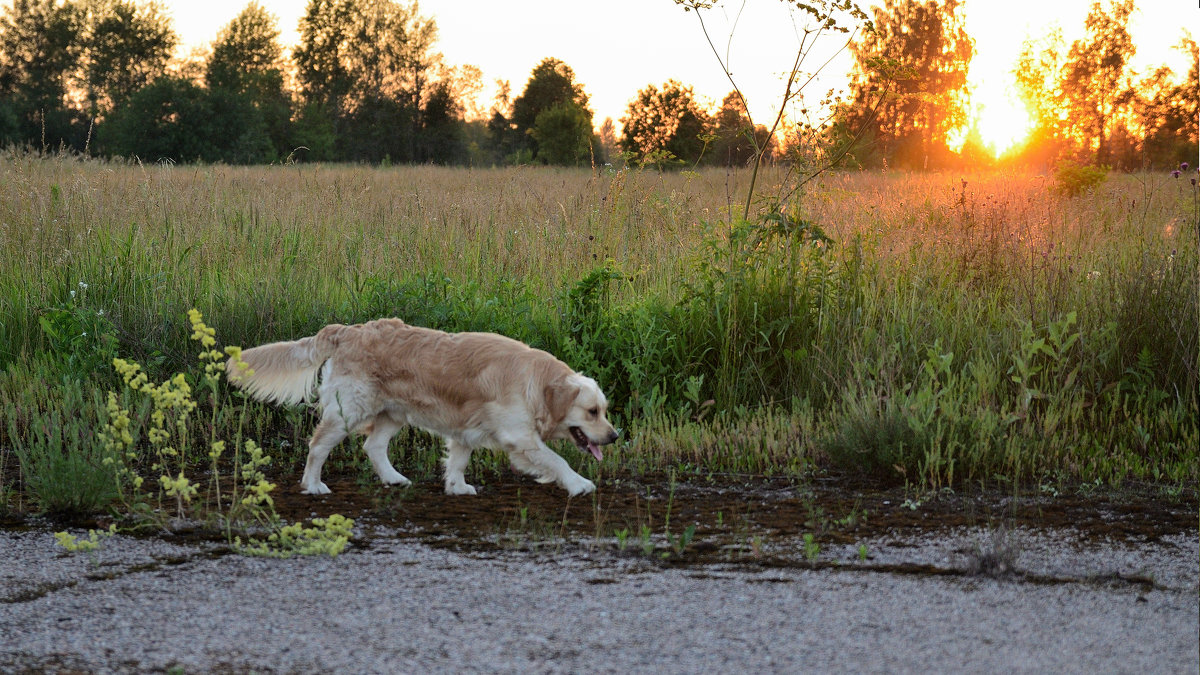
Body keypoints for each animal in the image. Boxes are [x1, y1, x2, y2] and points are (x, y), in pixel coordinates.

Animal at [226, 314, 619, 494]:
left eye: (604, 411)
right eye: (592, 412)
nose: (614, 436)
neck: (535, 381)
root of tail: (346, 330)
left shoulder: (467, 428)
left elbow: (458, 459)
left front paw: (457, 487)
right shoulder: (520, 437)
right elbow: (556, 460)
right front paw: (579, 483)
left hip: (391, 413)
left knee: (373, 446)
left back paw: (394, 478)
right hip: (348, 412)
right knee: (317, 446)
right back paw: (313, 485)